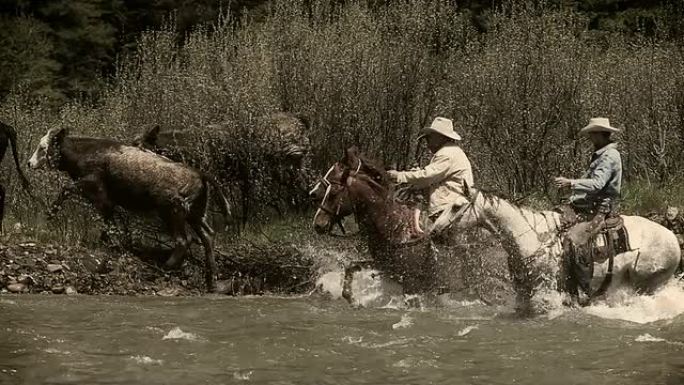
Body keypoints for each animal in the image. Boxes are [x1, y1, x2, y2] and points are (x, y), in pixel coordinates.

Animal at [312, 146, 436, 304]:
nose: (318, 224)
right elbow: (351, 266)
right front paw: (351, 297)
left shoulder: (412, 281)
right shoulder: (384, 265)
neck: (394, 225)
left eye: (333, 191)